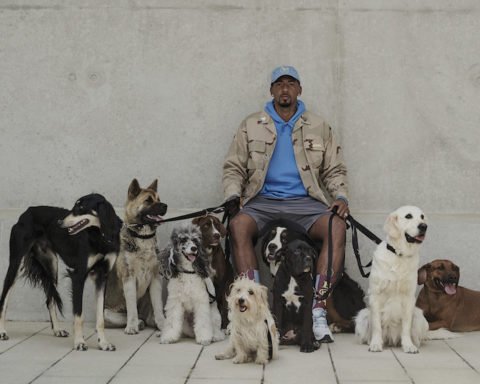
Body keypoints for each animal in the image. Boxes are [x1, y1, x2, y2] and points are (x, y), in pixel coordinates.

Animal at [0, 195, 122, 352]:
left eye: (81, 208)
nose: (59, 222)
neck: (100, 236)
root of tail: (27, 211)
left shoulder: (102, 277)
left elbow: (100, 318)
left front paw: (103, 343)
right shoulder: (78, 276)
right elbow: (79, 315)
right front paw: (79, 342)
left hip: (52, 265)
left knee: (50, 300)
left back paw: (57, 330)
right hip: (16, 263)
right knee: (4, 299)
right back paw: (2, 332)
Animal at [354, 206, 430, 352]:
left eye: (422, 216)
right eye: (408, 216)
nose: (424, 226)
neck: (399, 255)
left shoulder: (409, 298)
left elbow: (406, 326)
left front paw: (408, 345)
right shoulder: (375, 295)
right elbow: (377, 325)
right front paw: (376, 344)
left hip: (419, 315)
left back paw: (413, 343)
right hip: (363, 315)